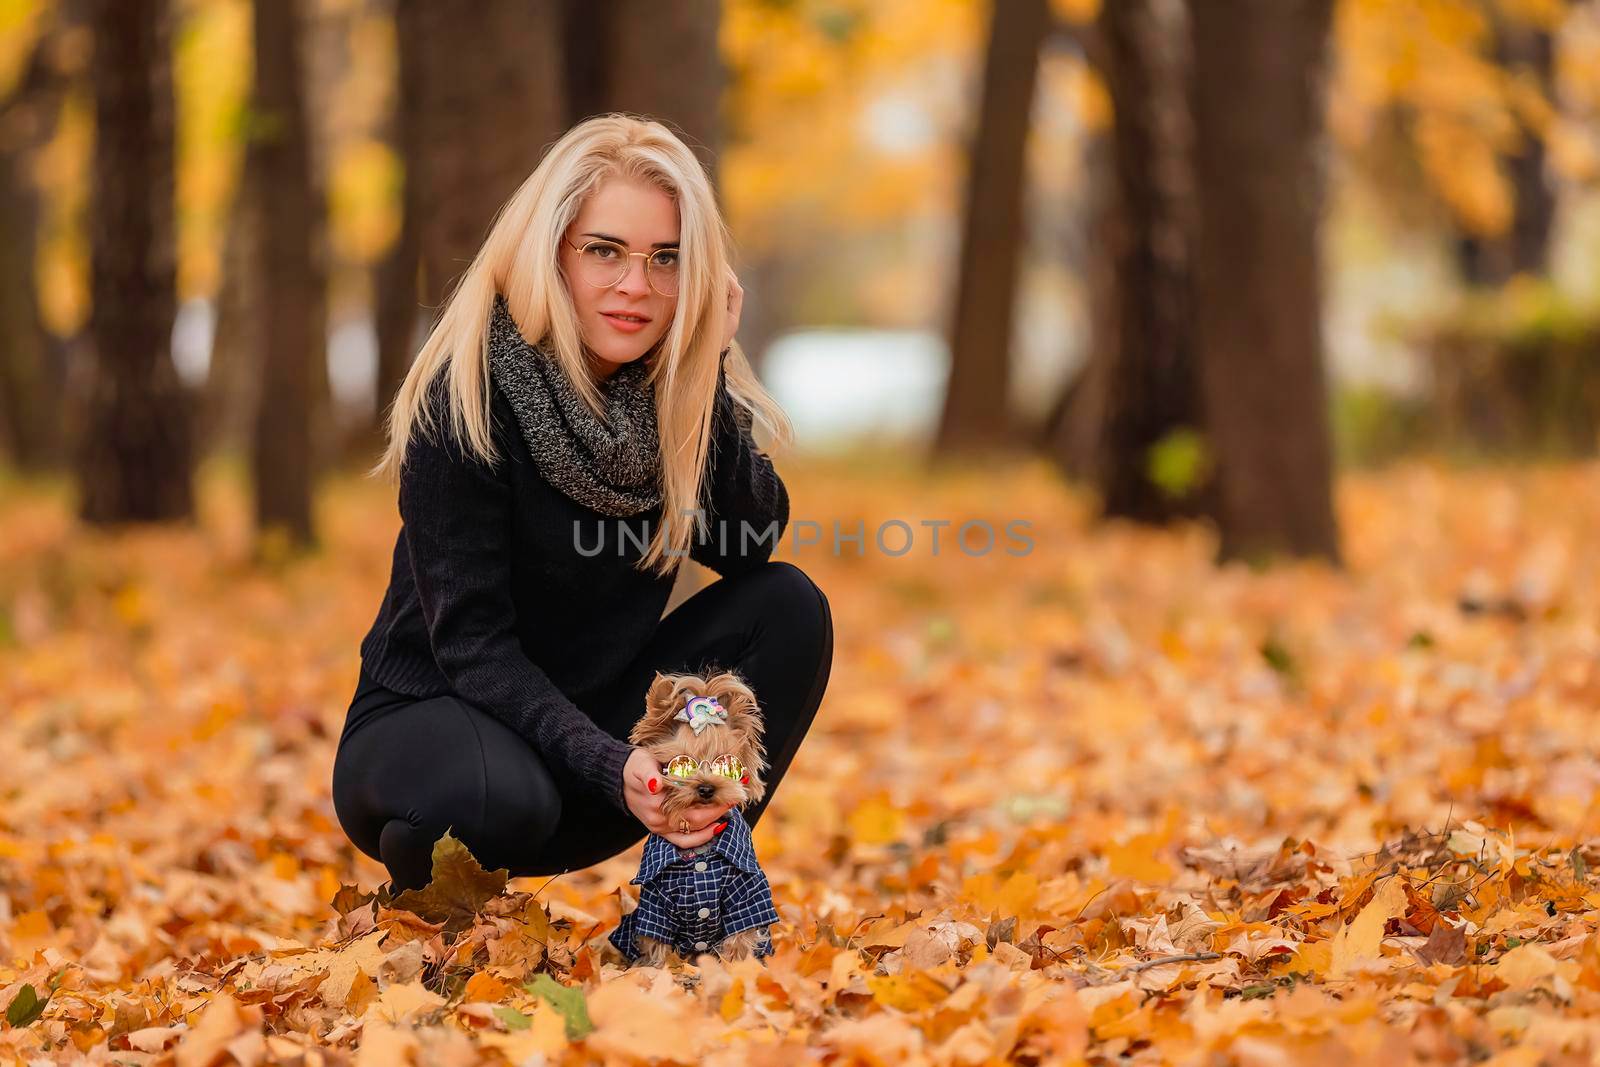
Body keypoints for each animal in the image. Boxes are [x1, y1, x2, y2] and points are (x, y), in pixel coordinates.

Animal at [604, 671, 780, 972]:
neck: (699, 855)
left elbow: (742, 933)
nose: (706, 788)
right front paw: (655, 972)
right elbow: (656, 940)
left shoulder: (747, 893)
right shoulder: (655, 904)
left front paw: (737, 970)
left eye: (725, 764)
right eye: (681, 764)